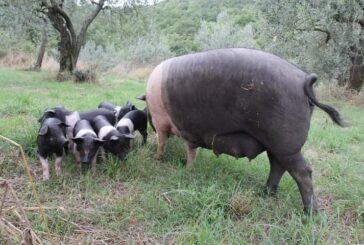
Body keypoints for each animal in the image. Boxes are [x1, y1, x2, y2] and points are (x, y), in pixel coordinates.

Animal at [146, 47, 346, 212]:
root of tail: (304, 80)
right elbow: (191, 152)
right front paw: (188, 168)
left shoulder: (161, 121)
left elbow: (163, 142)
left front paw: (157, 158)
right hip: (275, 145)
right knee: (277, 166)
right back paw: (266, 194)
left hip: (286, 144)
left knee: (303, 172)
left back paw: (309, 214)